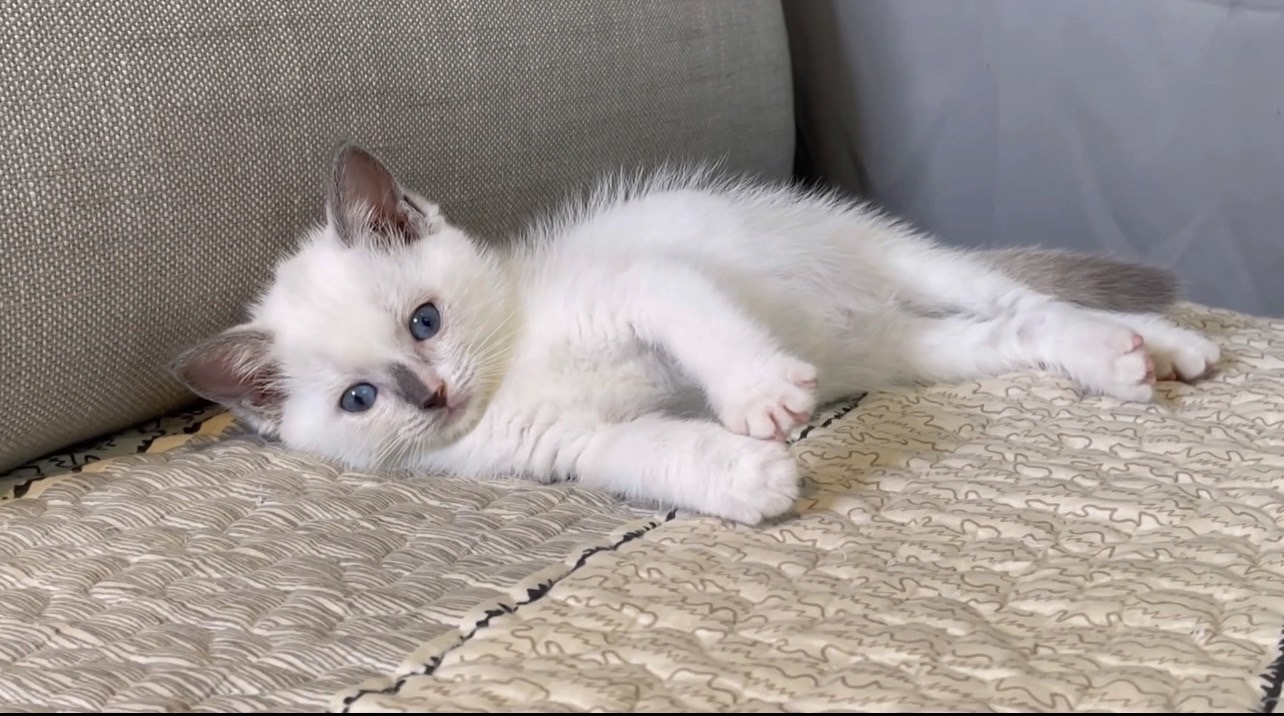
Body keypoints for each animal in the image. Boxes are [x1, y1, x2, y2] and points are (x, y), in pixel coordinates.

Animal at [172, 144, 1221, 524]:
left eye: (424, 319)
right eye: (359, 399)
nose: (431, 394)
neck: (515, 367)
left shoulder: (643, 285)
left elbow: (704, 327)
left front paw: (761, 399)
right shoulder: (570, 446)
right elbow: (647, 454)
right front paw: (745, 477)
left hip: (913, 265)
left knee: (1023, 296)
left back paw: (1155, 346)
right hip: (917, 350)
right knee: (1013, 329)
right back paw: (1129, 355)